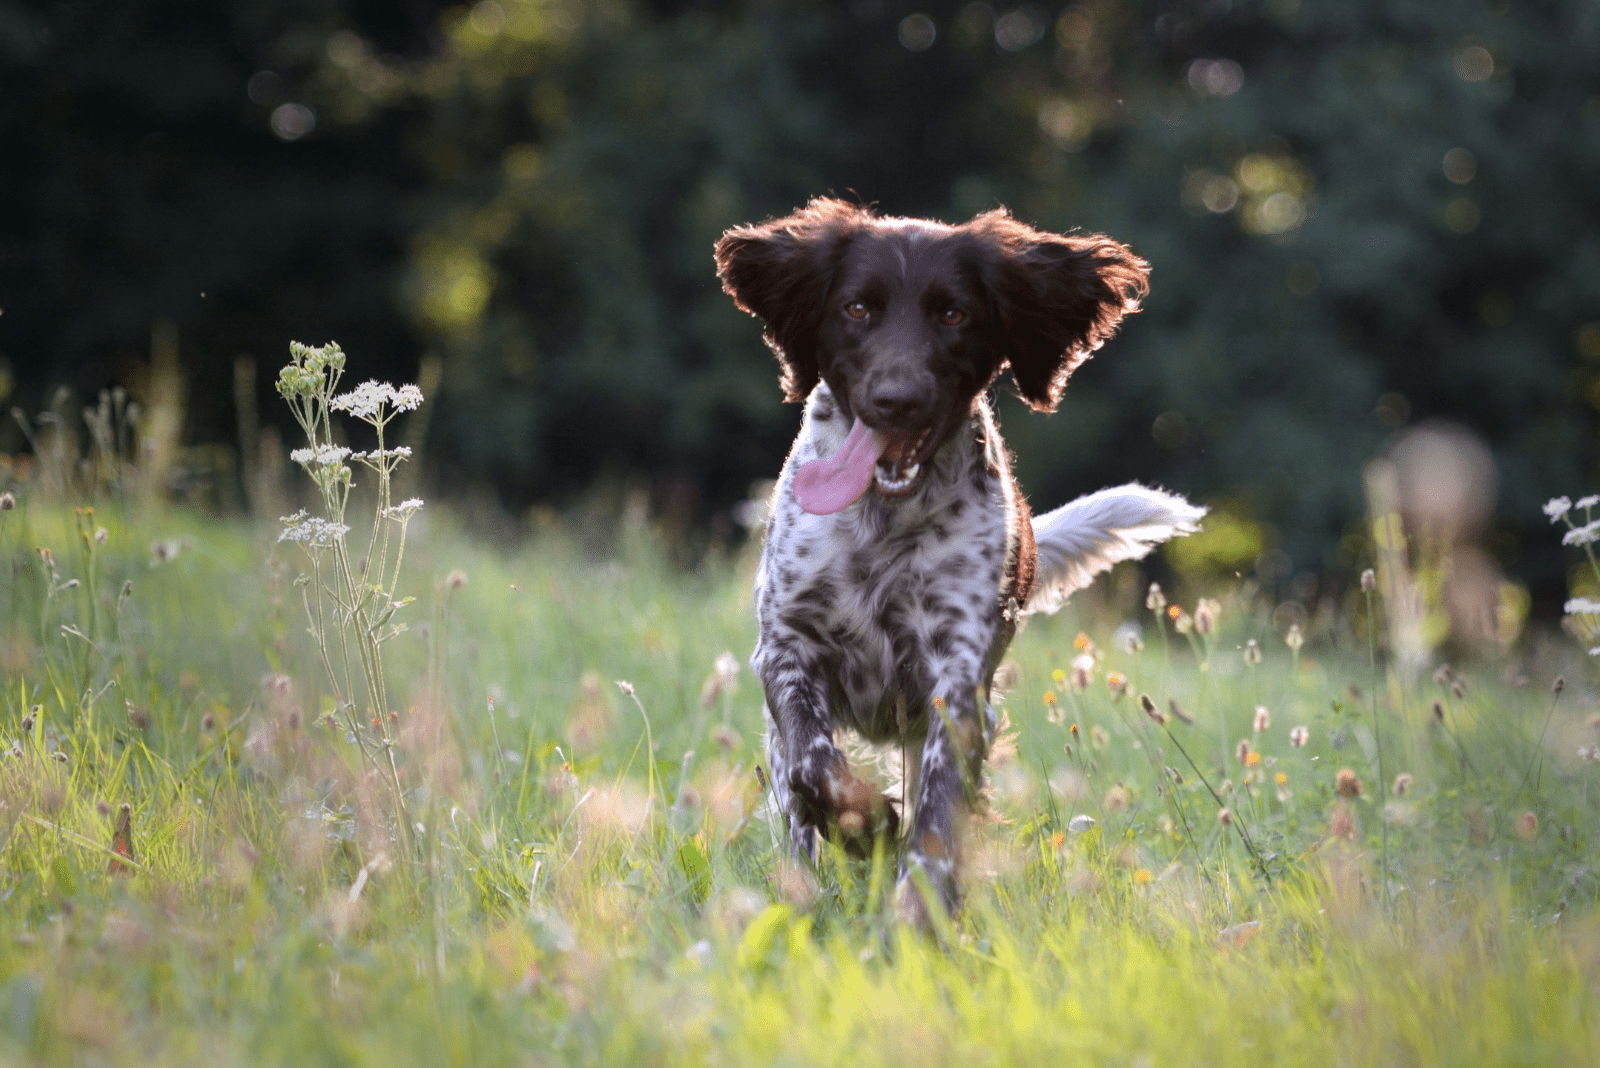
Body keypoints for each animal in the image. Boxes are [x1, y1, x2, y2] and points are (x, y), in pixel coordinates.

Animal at [713, 199, 1203, 927]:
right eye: (857, 308)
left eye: (953, 315)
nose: (896, 399)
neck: (883, 524)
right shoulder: (786, 647)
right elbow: (813, 768)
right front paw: (866, 825)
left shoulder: (958, 678)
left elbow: (937, 820)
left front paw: (919, 912)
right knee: (796, 811)